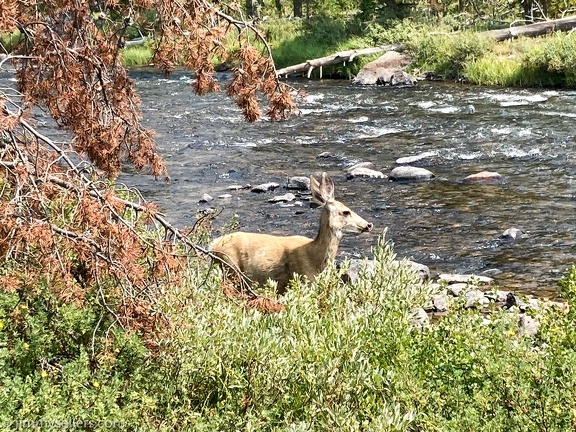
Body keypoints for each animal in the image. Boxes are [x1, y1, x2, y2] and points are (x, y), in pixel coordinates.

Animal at [209, 172, 376, 294]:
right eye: (346, 211)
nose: (368, 225)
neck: (316, 258)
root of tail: (212, 245)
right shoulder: (304, 280)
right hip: (230, 268)